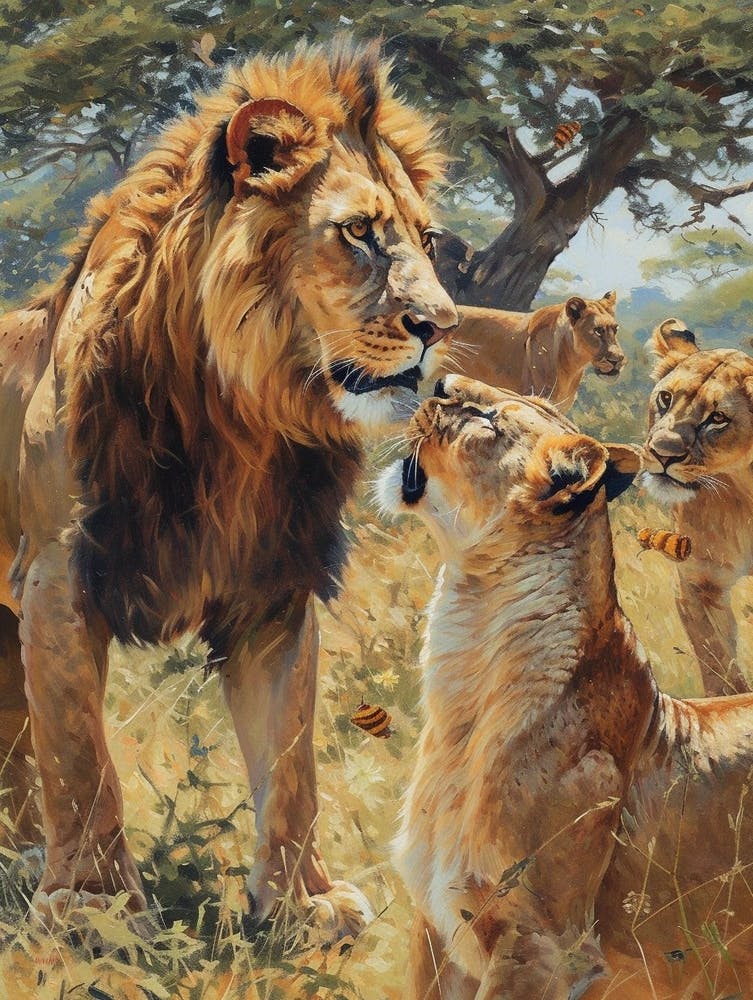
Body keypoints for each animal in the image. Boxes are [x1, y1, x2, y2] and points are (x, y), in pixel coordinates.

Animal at [0, 39, 458, 934]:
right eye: (358, 232)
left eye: (427, 239)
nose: (443, 325)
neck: (235, 422)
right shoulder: (57, 574)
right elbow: (78, 754)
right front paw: (93, 911)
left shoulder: (273, 587)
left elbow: (289, 758)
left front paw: (302, 908)